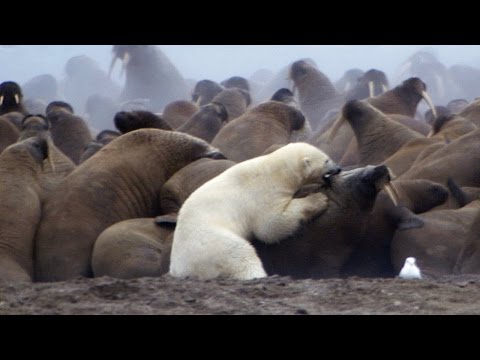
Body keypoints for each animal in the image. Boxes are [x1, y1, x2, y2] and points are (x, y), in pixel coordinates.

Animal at [169, 142, 342, 280]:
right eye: (327, 160)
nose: (338, 168)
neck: (276, 171)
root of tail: (178, 269)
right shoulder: (262, 193)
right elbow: (270, 226)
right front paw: (319, 199)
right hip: (209, 244)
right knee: (239, 254)